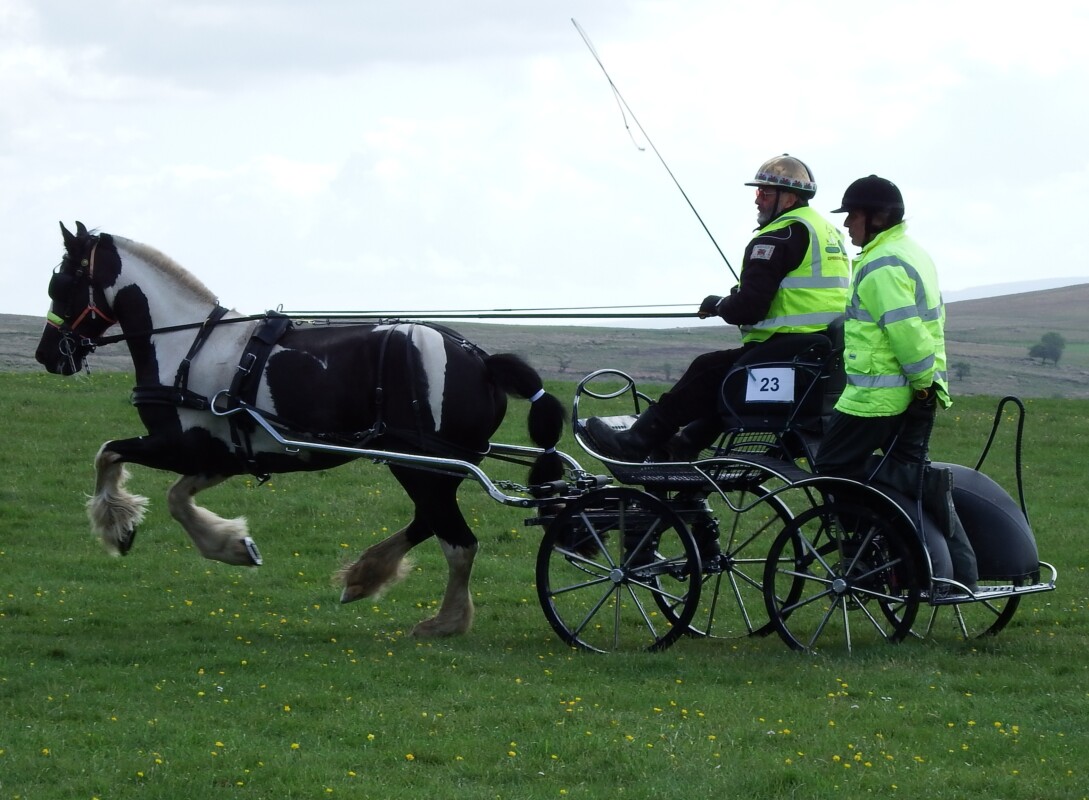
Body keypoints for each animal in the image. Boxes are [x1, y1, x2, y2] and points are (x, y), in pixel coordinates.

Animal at [36, 222, 561, 635]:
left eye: (60, 282)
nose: (47, 356)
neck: (187, 345)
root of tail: (482, 360)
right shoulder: (219, 455)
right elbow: (176, 498)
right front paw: (233, 545)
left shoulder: (175, 445)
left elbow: (109, 454)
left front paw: (119, 527)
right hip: (431, 466)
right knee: (430, 523)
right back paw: (366, 575)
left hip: (421, 464)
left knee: (457, 541)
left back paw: (444, 622)